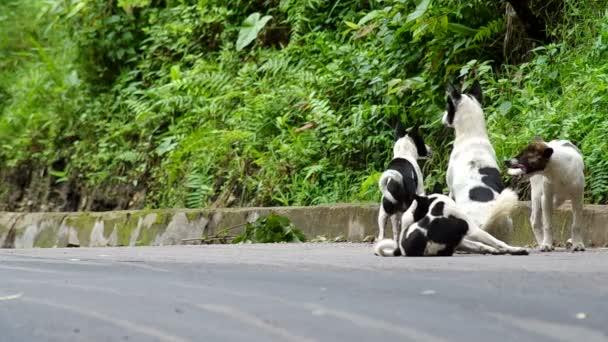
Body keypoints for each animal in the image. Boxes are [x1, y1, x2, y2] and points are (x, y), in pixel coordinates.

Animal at [372, 192, 528, 256]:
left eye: (415, 210)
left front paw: (492, 250)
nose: (407, 218)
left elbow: (480, 245)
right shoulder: (473, 230)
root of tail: (401, 249)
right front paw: (515, 249)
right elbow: (499, 242)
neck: (436, 203)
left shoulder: (461, 238)